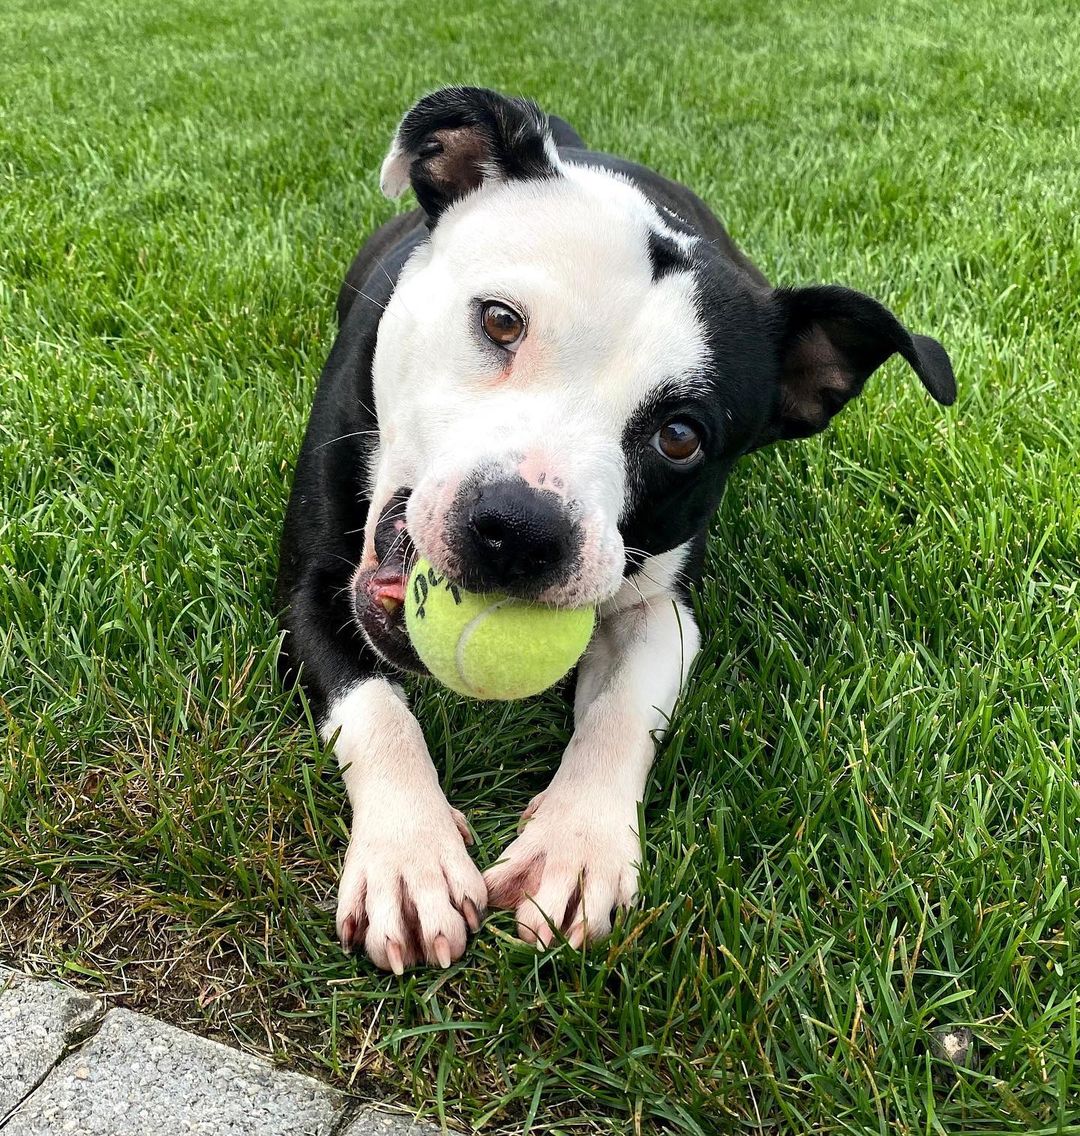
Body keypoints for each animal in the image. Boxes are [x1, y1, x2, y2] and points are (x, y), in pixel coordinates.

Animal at [277, 86, 953, 976]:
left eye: (681, 436)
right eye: (500, 321)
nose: (521, 529)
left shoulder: (662, 611)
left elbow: (623, 710)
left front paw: (577, 846)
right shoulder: (310, 586)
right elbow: (375, 707)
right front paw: (409, 855)